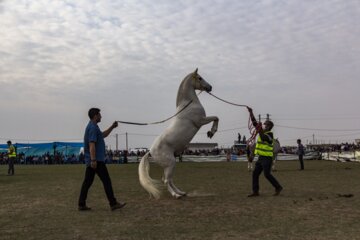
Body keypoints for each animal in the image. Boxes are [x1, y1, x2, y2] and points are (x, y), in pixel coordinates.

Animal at [139, 68, 219, 199]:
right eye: (200, 78)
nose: (210, 87)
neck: (188, 104)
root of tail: (150, 151)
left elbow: (216, 118)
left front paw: (211, 132)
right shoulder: (200, 121)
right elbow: (216, 117)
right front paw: (211, 132)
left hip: (169, 165)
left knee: (168, 179)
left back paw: (181, 192)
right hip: (170, 163)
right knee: (166, 180)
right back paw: (176, 195)